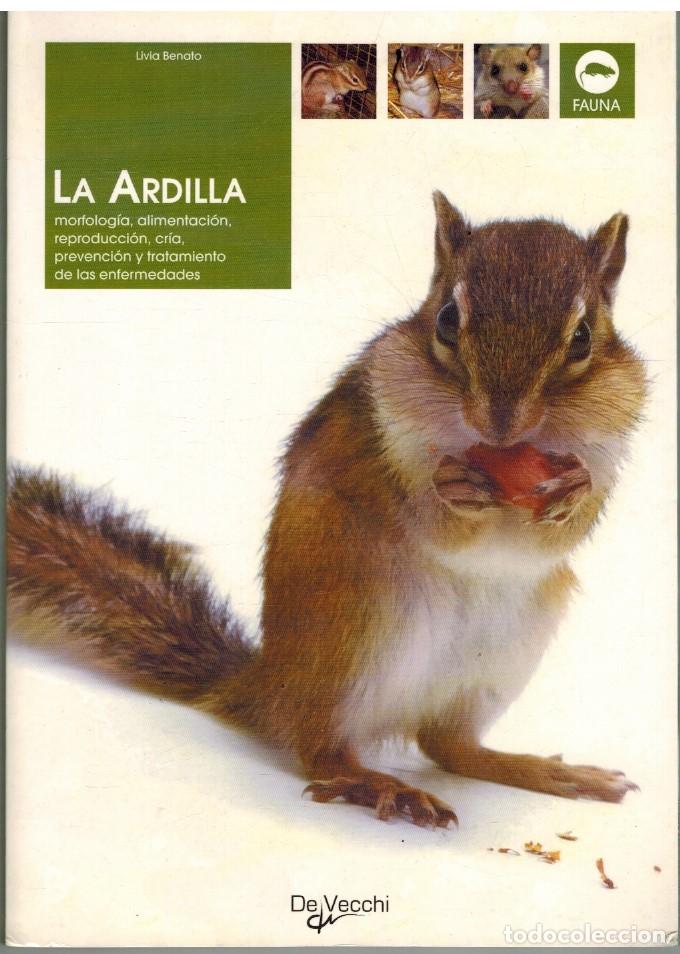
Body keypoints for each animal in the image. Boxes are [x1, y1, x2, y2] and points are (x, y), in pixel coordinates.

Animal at [8, 192, 647, 829]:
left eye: (583, 337)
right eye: (446, 320)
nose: (501, 425)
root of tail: (269, 687)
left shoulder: (611, 443)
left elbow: (562, 530)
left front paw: (573, 491)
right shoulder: (383, 432)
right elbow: (429, 515)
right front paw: (451, 486)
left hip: (501, 656)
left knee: (449, 746)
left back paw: (547, 772)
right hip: (353, 626)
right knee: (320, 749)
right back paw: (378, 784)